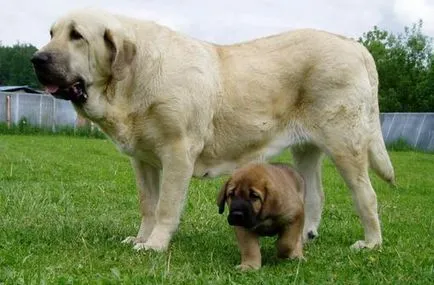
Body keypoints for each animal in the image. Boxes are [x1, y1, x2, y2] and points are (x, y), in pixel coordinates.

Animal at [32, 8, 396, 251]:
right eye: (51, 33)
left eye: (77, 36)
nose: (38, 59)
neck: (133, 78)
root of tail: (355, 46)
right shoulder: (143, 161)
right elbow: (148, 204)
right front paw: (140, 238)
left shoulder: (177, 152)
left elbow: (165, 206)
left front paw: (154, 245)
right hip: (306, 149)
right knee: (316, 195)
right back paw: (303, 236)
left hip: (345, 144)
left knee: (366, 195)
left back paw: (371, 244)